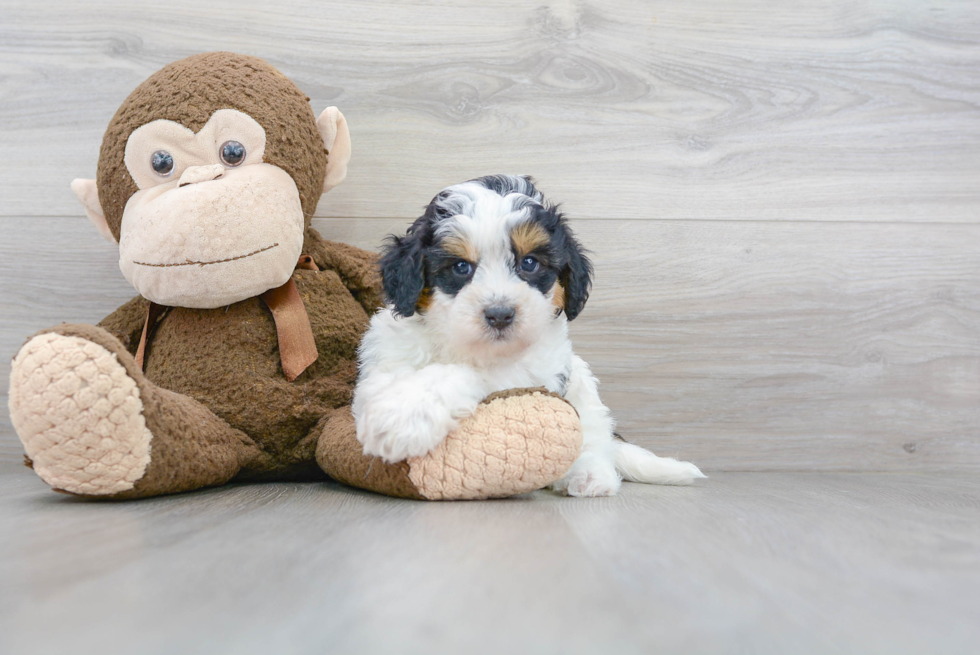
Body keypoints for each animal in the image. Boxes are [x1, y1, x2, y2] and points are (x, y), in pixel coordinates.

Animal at [352, 174, 704, 498]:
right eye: (461, 267)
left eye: (530, 263)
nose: (500, 314)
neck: (470, 348)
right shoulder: (384, 362)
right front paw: (402, 410)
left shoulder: (532, 373)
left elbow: (469, 374)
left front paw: (403, 417)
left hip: (581, 383)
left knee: (594, 434)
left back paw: (589, 474)